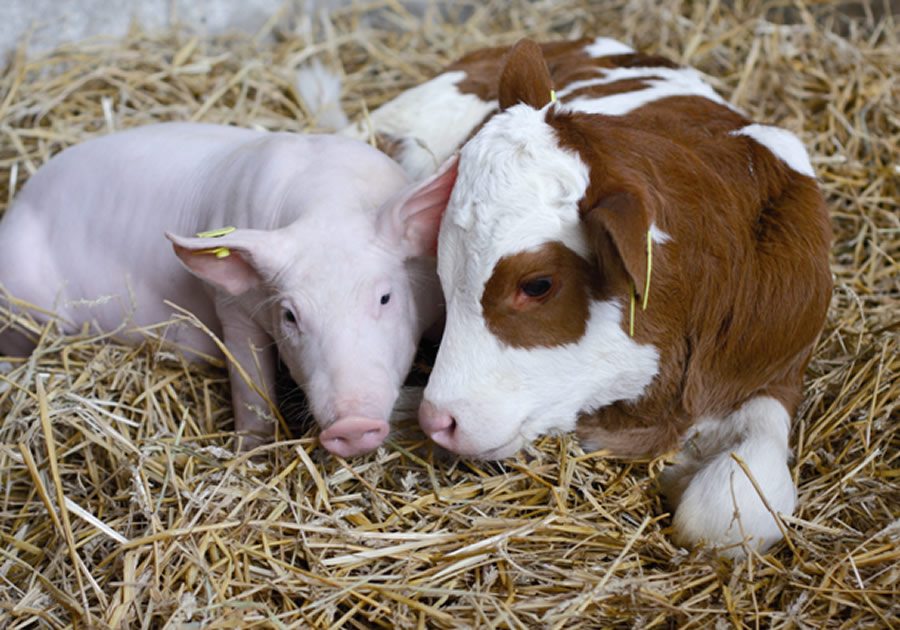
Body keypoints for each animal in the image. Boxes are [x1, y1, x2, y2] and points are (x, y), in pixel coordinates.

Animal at [0, 123, 450, 456]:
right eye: (290, 315)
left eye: (385, 297)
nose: (354, 424)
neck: (328, 204)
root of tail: (17, 204)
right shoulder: (232, 306)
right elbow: (249, 380)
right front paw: (250, 450)